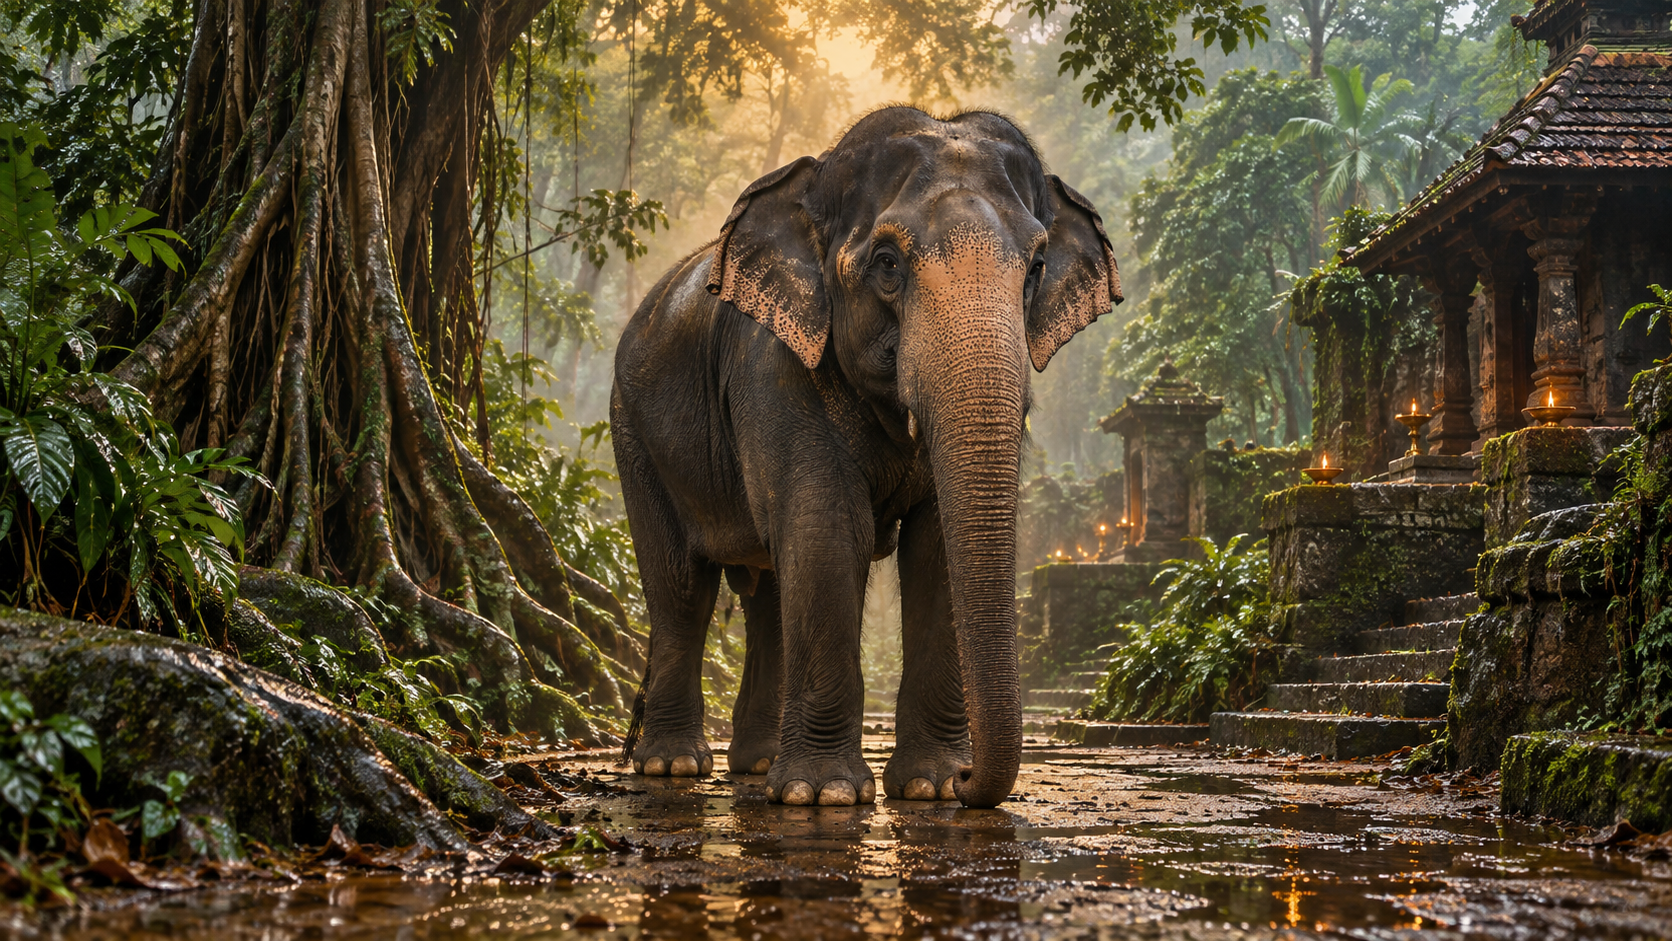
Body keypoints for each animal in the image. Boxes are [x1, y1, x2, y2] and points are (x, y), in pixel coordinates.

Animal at [610, 106, 1121, 808]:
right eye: (886, 262)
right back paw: (674, 767)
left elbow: (933, 546)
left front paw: (931, 785)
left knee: (768, 594)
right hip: (633, 432)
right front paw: (823, 795)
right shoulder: (774, 365)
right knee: (681, 585)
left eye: (1038, 265)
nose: (971, 779)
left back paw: (755, 764)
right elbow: (826, 529)